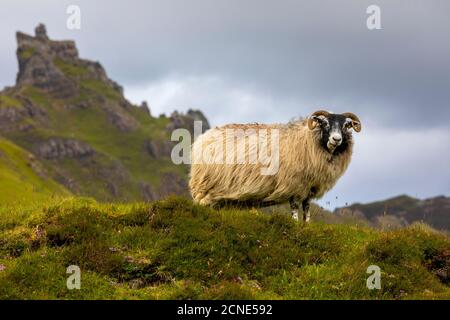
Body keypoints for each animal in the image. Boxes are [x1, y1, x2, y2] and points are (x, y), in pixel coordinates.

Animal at [189, 110, 362, 222]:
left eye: (347, 125)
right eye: (324, 123)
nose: (336, 139)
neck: (309, 140)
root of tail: (203, 137)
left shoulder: (309, 188)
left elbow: (306, 210)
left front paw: (306, 226)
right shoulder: (293, 185)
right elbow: (294, 208)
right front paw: (294, 225)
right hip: (204, 188)